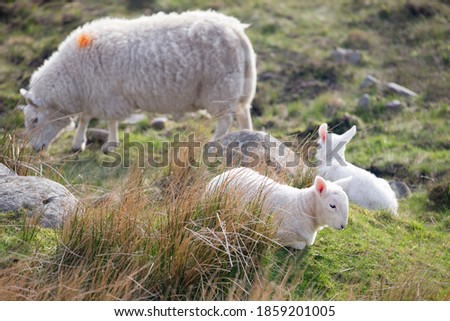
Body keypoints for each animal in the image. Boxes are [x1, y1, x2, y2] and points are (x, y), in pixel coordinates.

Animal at [18, 10, 256, 153]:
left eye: (35, 120)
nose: (34, 149)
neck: (73, 76)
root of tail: (236, 29)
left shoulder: (108, 95)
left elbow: (110, 120)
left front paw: (110, 145)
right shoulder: (93, 93)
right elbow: (85, 117)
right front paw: (79, 143)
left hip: (220, 88)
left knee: (225, 120)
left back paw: (213, 144)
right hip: (240, 86)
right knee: (243, 113)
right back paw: (248, 137)